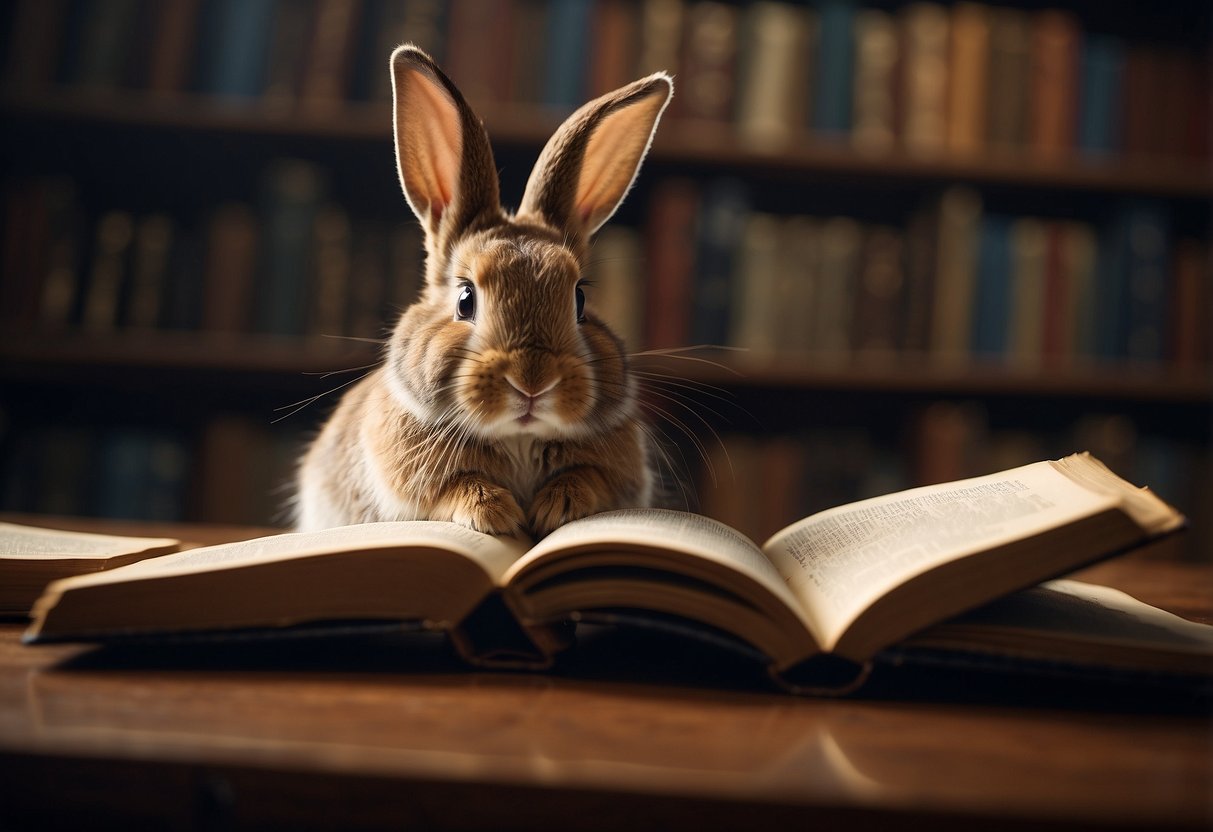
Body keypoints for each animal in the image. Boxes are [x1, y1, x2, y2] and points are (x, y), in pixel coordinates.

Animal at [293, 45, 674, 538]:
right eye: (465, 299)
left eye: (580, 300)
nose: (532, 382)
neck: (518, 435)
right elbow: (454, 488)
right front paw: (495, 514)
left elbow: (588, 477)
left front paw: (558, 506)